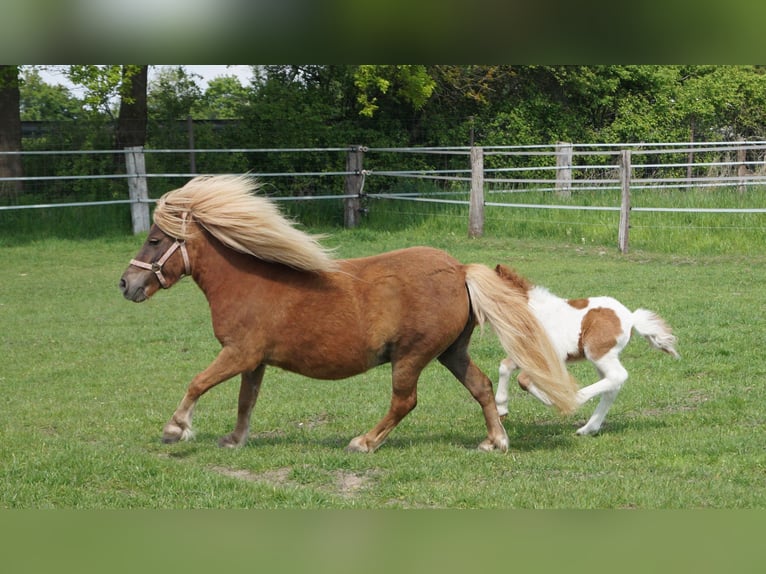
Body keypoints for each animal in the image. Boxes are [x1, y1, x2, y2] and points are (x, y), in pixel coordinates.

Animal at [118, 173, 576, 452]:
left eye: (156, 240)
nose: (126, 284)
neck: (246, 283)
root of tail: (459, 269)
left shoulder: (238, 353)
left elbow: (197, 383)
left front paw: (175, 429)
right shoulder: (253, 360)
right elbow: (246, 400)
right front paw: (234, 438)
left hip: (411, 355)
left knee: (404, 401)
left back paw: (365, 442)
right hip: (451, 351)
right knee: (480, 387)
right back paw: (495, 441)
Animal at [496, 266, 680, 436]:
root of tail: (631, 317)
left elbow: (524, 378)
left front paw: (552, 399)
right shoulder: (526, 353)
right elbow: (505, 367)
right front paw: (501, 409)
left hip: (598, 353)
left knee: (617, 376)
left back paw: (578, 400)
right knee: (612, 386)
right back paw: (587, 429)